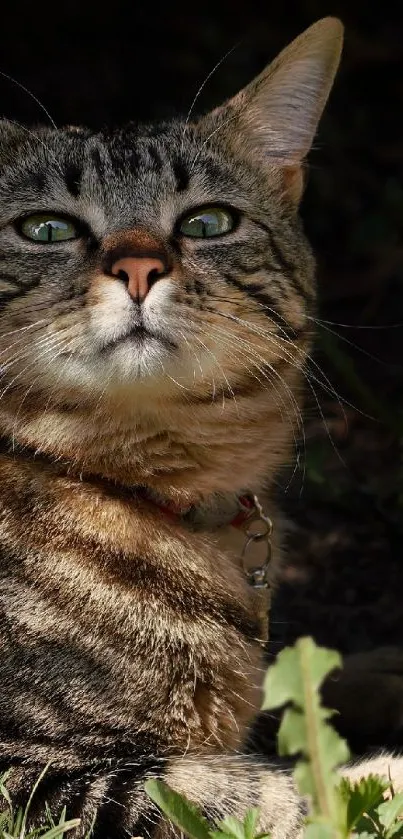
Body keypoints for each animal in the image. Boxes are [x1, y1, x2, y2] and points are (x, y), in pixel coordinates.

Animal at [1, 18, 402, 839]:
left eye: (207, 223)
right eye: (45, 229)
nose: (137, 269)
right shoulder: (31, 776)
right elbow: (250, 787)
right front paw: (373, 773)